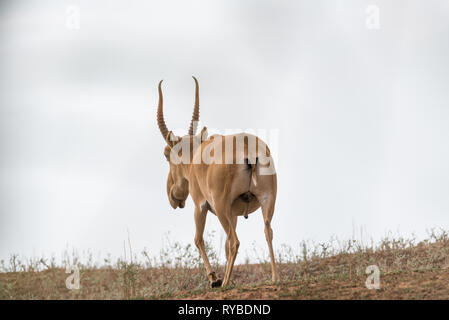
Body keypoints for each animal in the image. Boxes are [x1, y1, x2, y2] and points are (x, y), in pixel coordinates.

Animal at [156, 76, 278, 286]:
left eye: (165, 155)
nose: (173, 196)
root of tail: (248, 147)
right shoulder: (234, 213)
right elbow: (226, 247)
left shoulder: (200, 206)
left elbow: (198, 239)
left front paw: (214, 278)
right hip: (266, 202)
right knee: (266, 232)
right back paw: (274, 277)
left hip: (221, 208)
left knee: (235, 241)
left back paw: (225, 283)